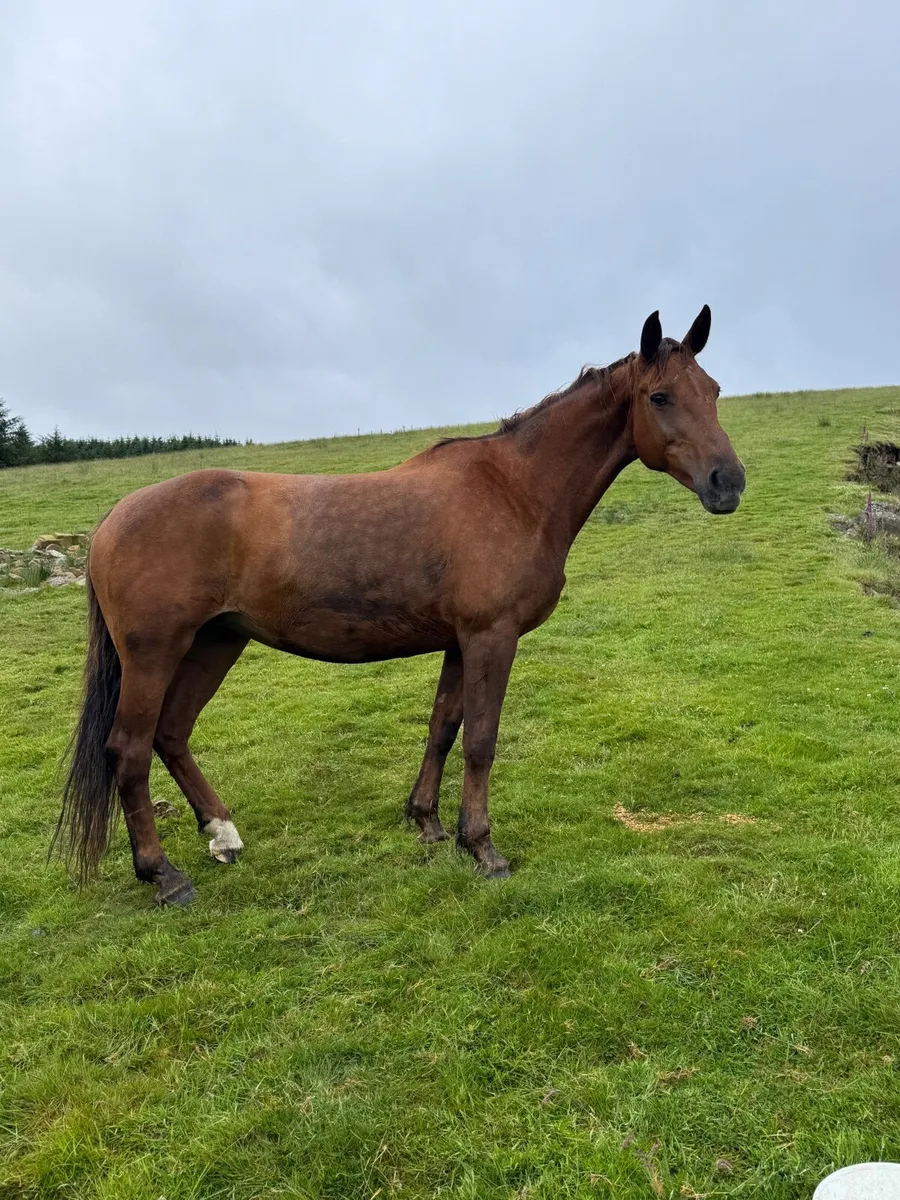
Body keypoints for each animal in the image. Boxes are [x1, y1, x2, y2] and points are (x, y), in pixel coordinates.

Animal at [53, 307, 745, 905]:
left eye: (712, 390)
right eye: (661, 397)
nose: (729, 484)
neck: (515, 489)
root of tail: (112, 520)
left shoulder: (460, 642)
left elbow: (444, 727)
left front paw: (428, 824)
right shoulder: (491, 637)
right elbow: (481, 739)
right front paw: (482, 847)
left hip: (217, 641)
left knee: (171, 734)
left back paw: (223, 835)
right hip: (155, 655)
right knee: (129, 750)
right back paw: (163, 874)